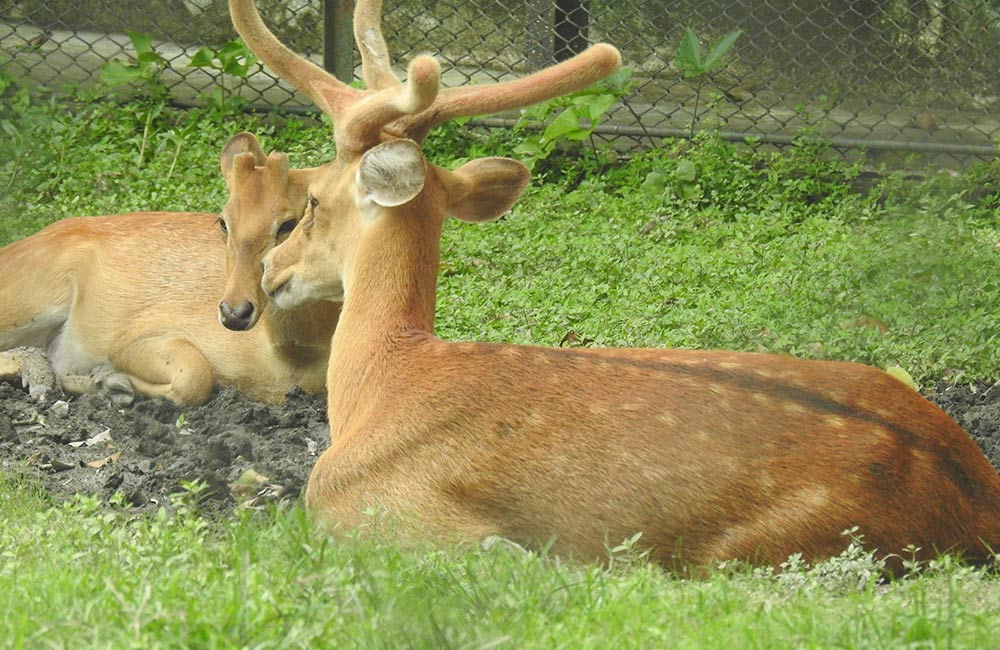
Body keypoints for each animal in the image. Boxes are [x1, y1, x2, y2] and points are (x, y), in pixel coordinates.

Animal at [0, 131, 338, 402]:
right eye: (223, 220)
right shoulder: (136, 337)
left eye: (288, 223)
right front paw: (108, 380)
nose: (234, 312)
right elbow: (196, 376)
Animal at [229, 0, 1000, 568]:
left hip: (765, 549)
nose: (271, 272)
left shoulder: (365, 506)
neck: (382, 379)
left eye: (311, 204)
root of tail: (977, 496)